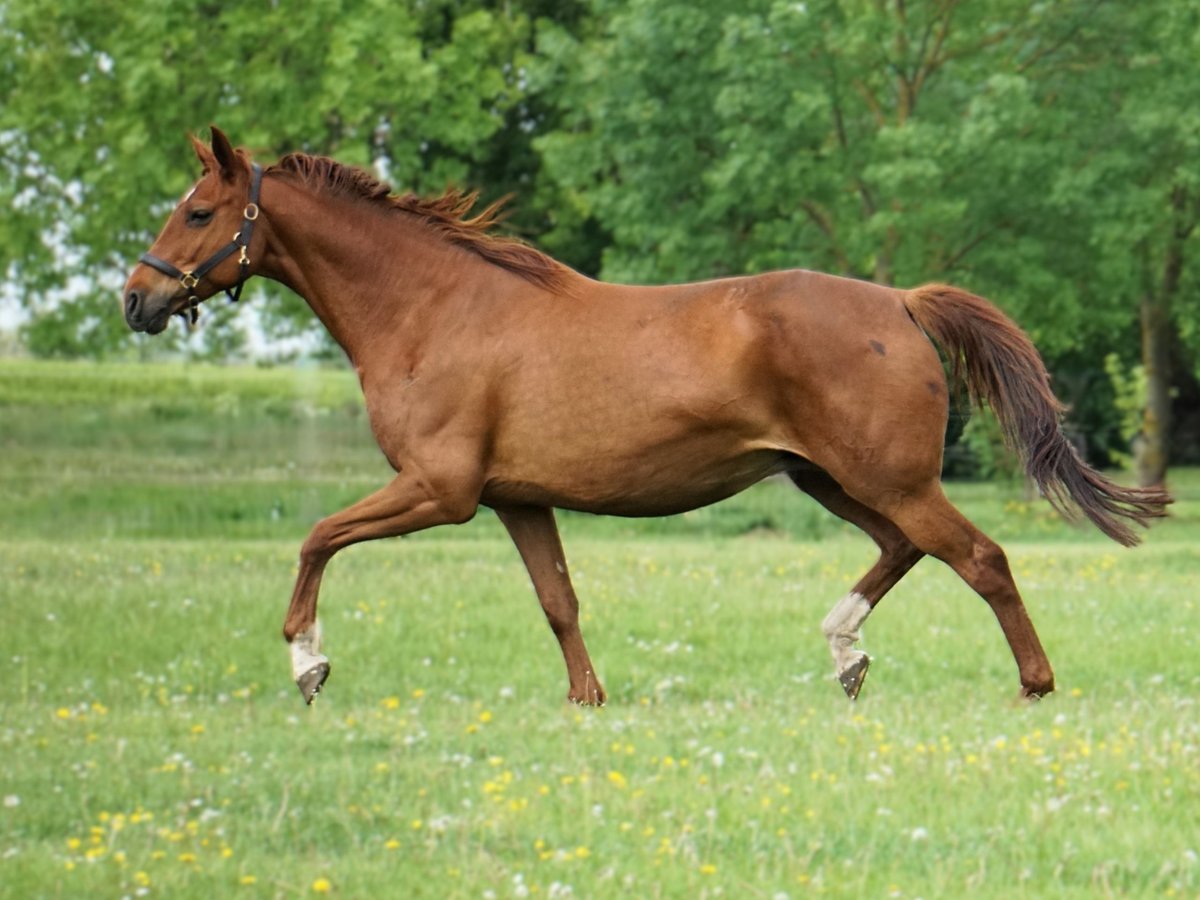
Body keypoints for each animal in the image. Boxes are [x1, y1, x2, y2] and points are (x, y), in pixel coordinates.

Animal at [121, 128, 1171, 705]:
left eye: (200, 211)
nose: (136, 299)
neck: (434, 309)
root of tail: (902, 302)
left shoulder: (439, 491)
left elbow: (315, 538)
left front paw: (308, 664)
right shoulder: (515, 500)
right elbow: (558, 602)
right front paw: (588, 700)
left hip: (885, 478)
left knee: (980, 559)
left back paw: (1031, 686)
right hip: (833, 479)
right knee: (908, 550)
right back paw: (846, 652)